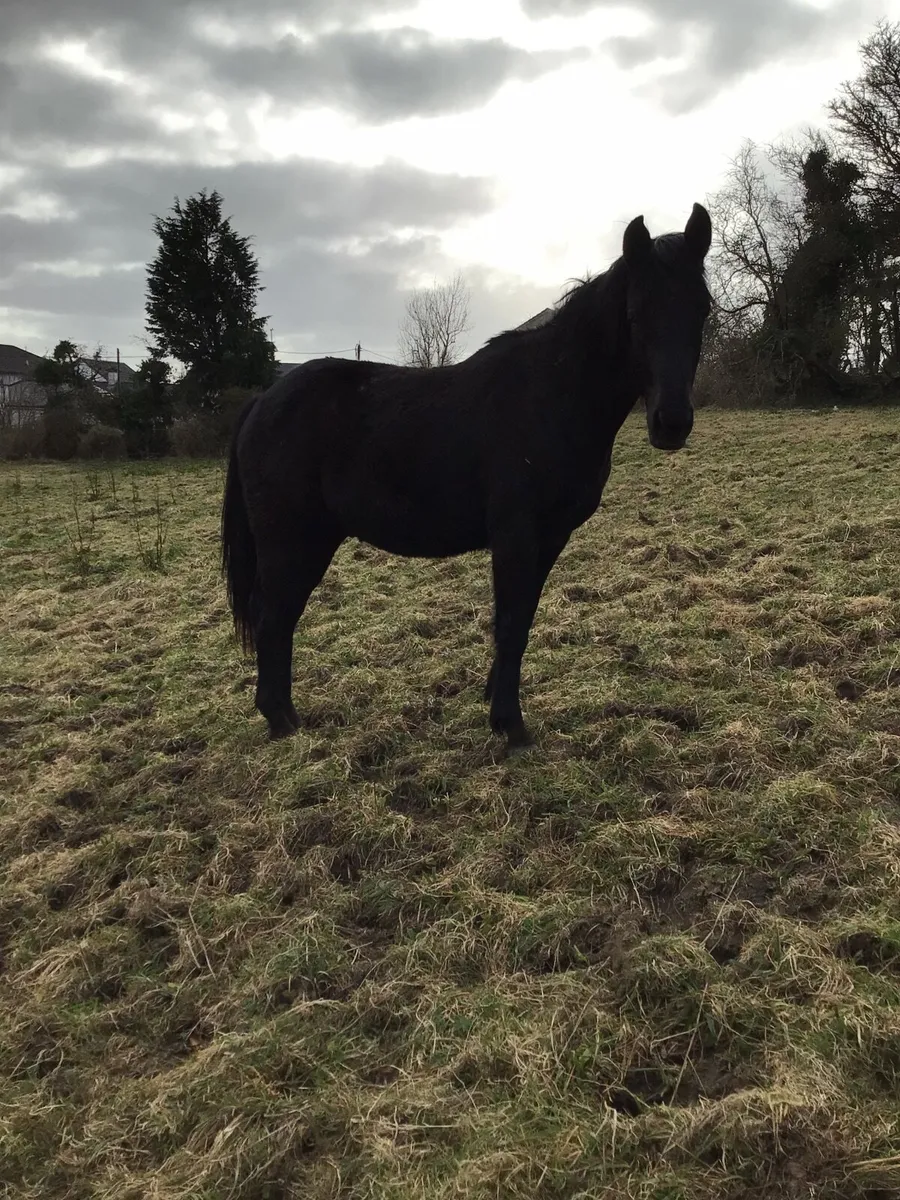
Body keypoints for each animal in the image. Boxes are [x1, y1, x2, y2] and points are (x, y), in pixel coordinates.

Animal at [221, 204, 713, 750]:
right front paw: (510, 725)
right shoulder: (516, 536)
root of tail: (263, 400)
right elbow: (511, 622)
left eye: (703, 310)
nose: (671, 424)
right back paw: (281, 719)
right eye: (634, 315)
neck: (552, 396)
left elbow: (521, 619)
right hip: (294, 542)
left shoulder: (551, 537)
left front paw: (495, 701)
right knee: (273, 617)